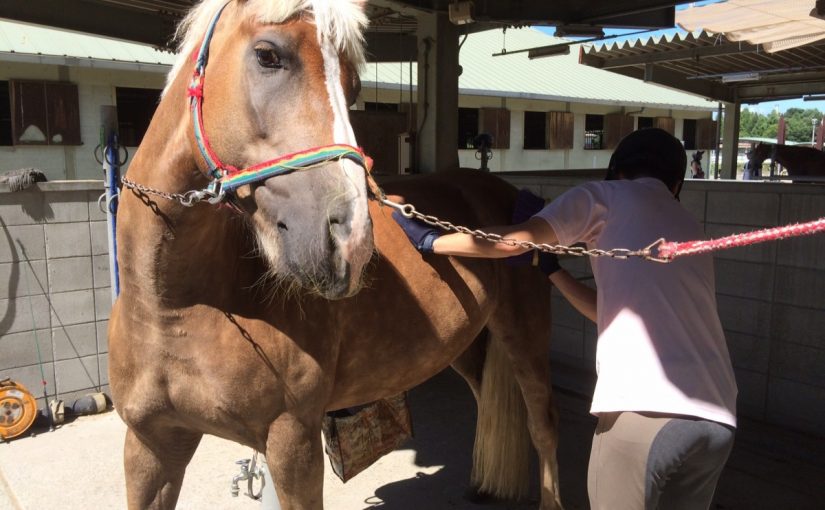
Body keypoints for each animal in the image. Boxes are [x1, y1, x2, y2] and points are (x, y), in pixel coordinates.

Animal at [108, 1, 561, 509]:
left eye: (353, 85)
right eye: (267, 55)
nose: (351, 241)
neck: (174, 307)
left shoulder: (293, 444)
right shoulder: (150, 446)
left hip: (525, 334)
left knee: (542, 426)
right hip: (466, 342)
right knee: (486, 399)